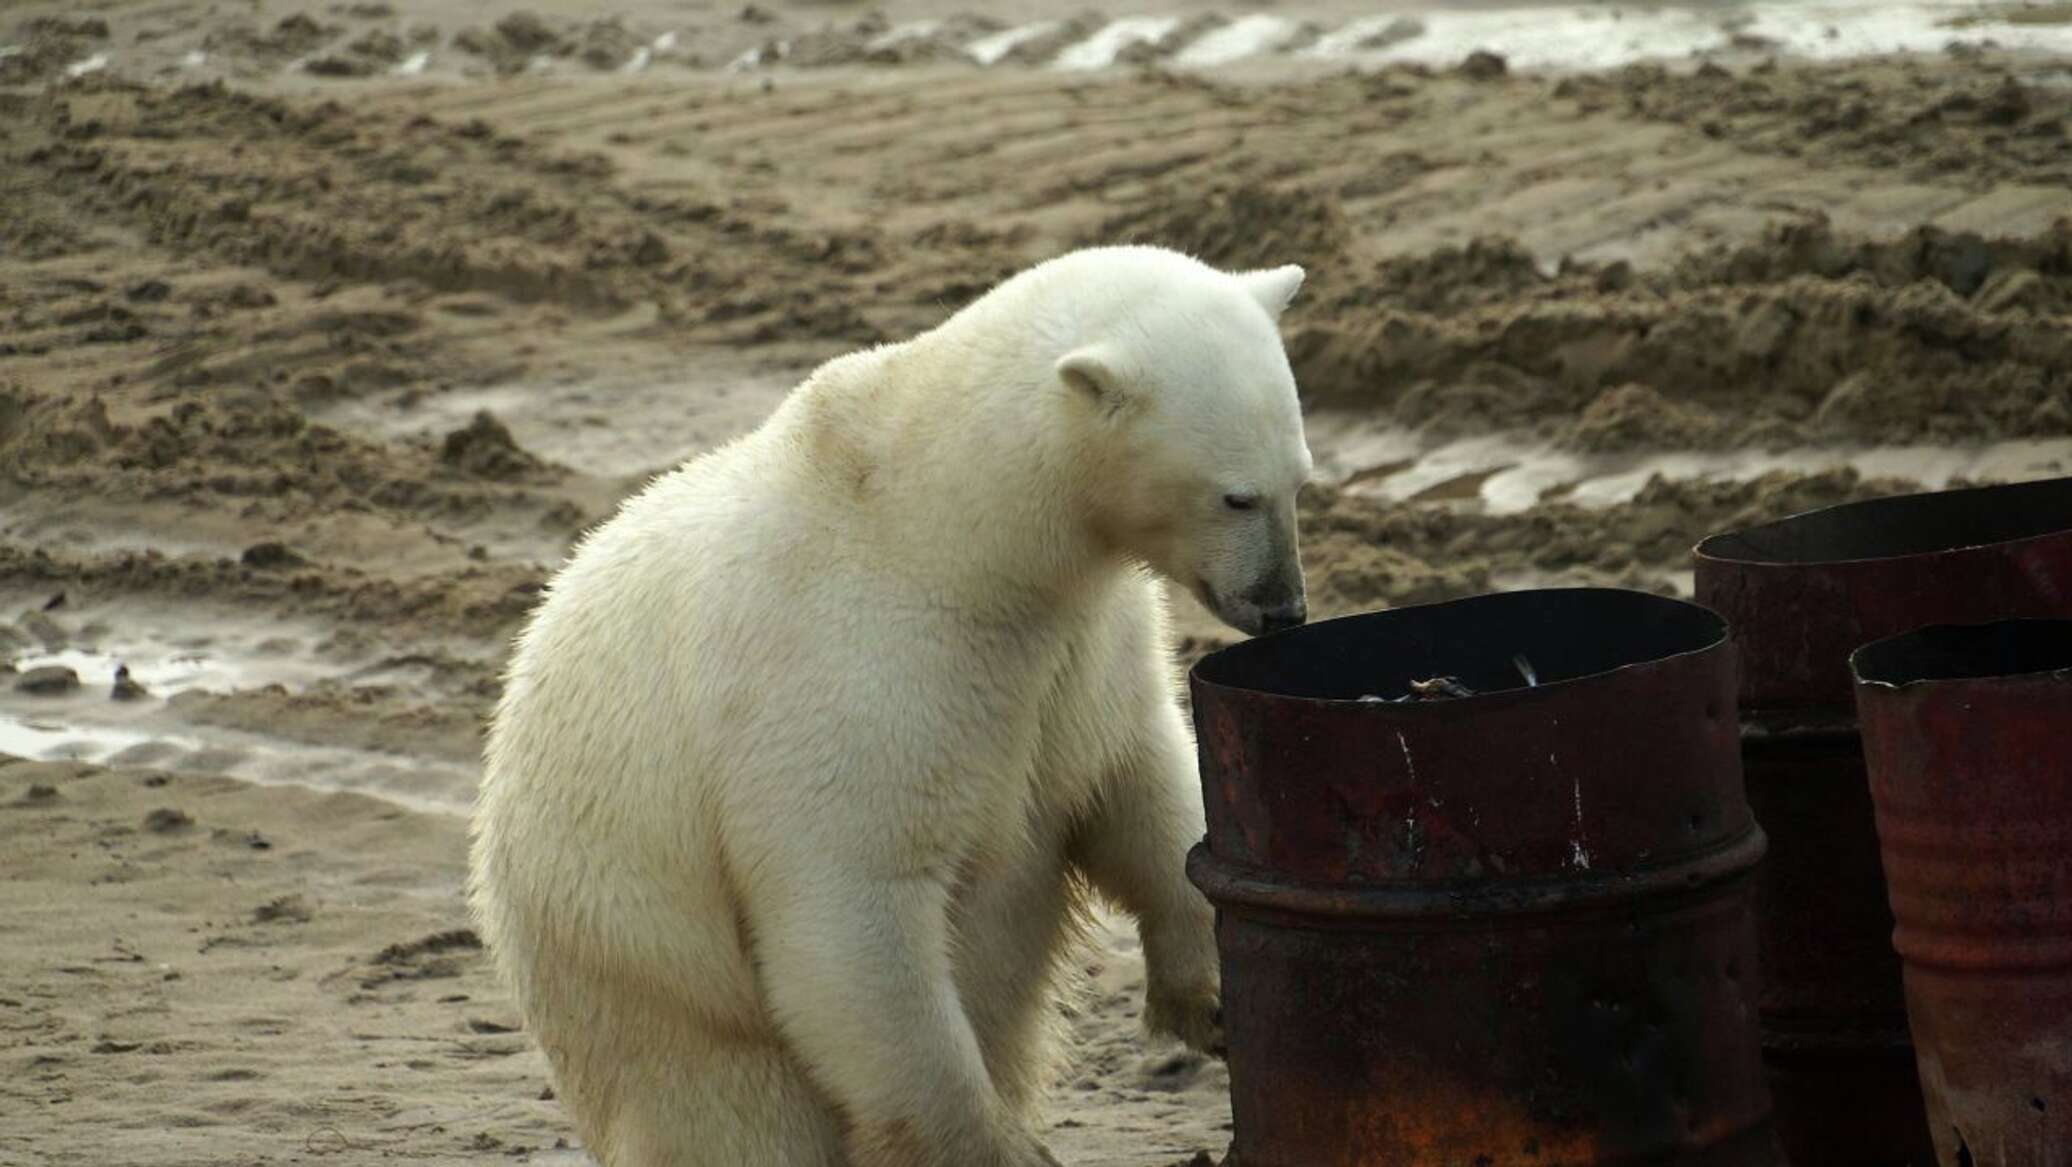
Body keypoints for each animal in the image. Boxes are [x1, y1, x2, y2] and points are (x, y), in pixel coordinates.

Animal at [470, 246, 1309, 1167]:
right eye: (1236, 495)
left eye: (1300, 479)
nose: (1285, 607)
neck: (953, 534)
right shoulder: (854, 668)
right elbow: (853, 906)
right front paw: (999, 1147)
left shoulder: (1083, 648)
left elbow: (1137, 782)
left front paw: (1214, 995)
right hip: (648, 983)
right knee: (736, 1112)